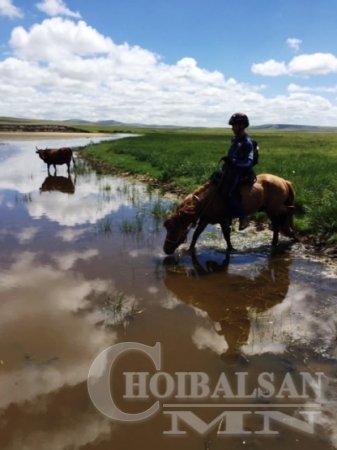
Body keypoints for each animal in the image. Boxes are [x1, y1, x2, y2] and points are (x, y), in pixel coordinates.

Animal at [163, 174, 296, 255]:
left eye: (173, 230)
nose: (165, 250)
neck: (207, 200)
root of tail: (284, 181)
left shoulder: (223, 219)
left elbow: (226, 235)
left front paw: (231, 249)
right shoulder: (205, 220)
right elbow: (196, 234)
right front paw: (190, 249)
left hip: (275, 207)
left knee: (290, 211)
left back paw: (292, 234)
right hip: (270, 210)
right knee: (276, 224)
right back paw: (275, 242)